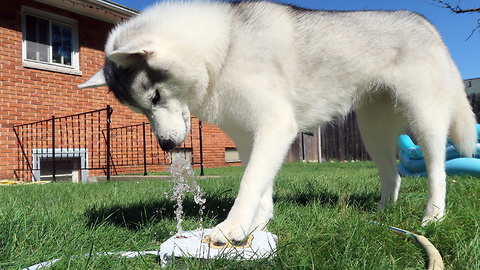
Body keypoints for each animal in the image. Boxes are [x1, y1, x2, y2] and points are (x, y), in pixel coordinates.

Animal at [80, 0, 478, 245]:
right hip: (372, 130)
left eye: (156, 97)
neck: (223, 48)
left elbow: (249, 183)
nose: (166, 146)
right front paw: (256, 225)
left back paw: (433, 217)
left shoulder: (276, 126)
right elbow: (260, 184)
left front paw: (231, 228)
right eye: (140, 110)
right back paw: (383, 213)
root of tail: (426, 24)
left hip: (424, 118)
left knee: (436, 169)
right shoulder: (250, 135)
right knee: (392, 173)